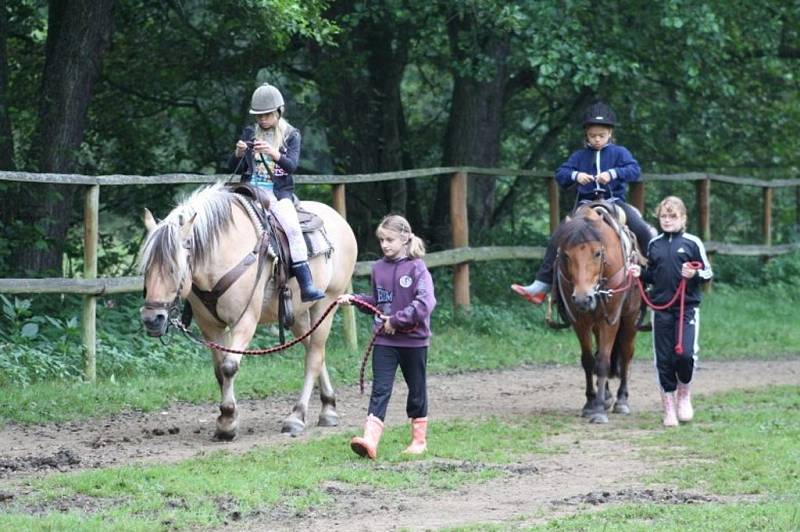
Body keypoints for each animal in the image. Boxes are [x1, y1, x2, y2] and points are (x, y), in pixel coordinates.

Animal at [139, 181, 358, 438]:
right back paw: (328, 407)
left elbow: (229, 367)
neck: (223, 253)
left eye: (174, 268)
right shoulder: (210, 326)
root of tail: (339, 220)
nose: (152, 319)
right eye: (146, 268)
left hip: (327, 304)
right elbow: (219, 370)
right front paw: (228, 419)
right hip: (298, 315)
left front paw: (227, 421)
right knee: (314, 349)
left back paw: (297, 416)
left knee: (314, 356)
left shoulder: (245, 321)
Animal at [552, 204, 644, 424]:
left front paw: (599, 410)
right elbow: (588, 360)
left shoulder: (609, 321)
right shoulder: (580, 322)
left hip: (629, 319)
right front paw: (590, 403)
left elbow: (603, 361)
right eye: (566, 255)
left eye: (597, 254)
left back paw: (621, 400)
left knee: (626, 354)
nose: (583, 298)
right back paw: (608, 396)